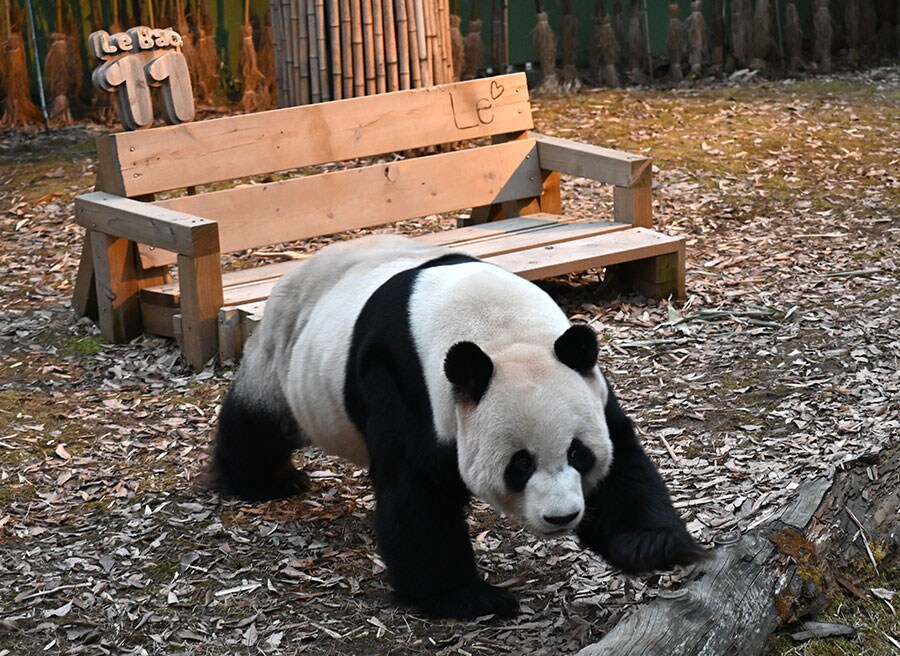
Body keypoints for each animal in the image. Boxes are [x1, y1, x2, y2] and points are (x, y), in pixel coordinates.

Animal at [207, 236, 708, 620]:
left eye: (578, 454)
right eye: (520, 464)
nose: (561, 517)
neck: (499, 330)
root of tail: (300, 267)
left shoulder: (585, 381)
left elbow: (622, 459)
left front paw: (651, 545)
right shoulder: (408, 385)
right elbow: (417, 493)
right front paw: (470, 598)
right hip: (284, 356)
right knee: (257, 422)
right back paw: (264, 482)